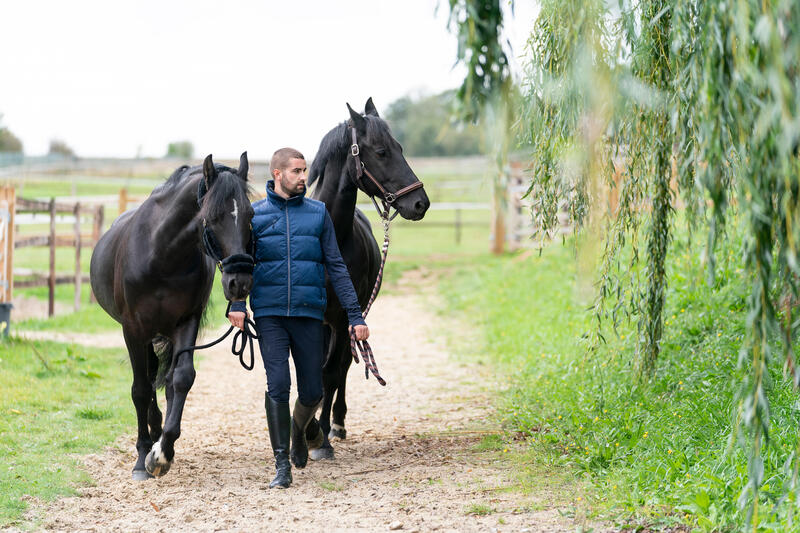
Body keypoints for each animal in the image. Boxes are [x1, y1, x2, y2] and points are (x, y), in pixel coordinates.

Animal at [90, 153, 253, 478]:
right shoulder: (133, 329)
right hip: (145, 334)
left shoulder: (186, 322)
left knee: (162, 379)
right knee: (149, 378)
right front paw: (143, 456)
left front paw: (162, 453)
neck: (162, 255)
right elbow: (140, 390)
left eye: (251, 214)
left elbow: (181, 379)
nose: (239, 282)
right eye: (213, 216)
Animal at [306, 98, 432, 458]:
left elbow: (330, 374)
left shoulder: (343, 319)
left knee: (344, 366)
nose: (420, 203)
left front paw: (320, 437)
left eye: (400, 148)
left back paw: (336, 424)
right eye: (381, 151)